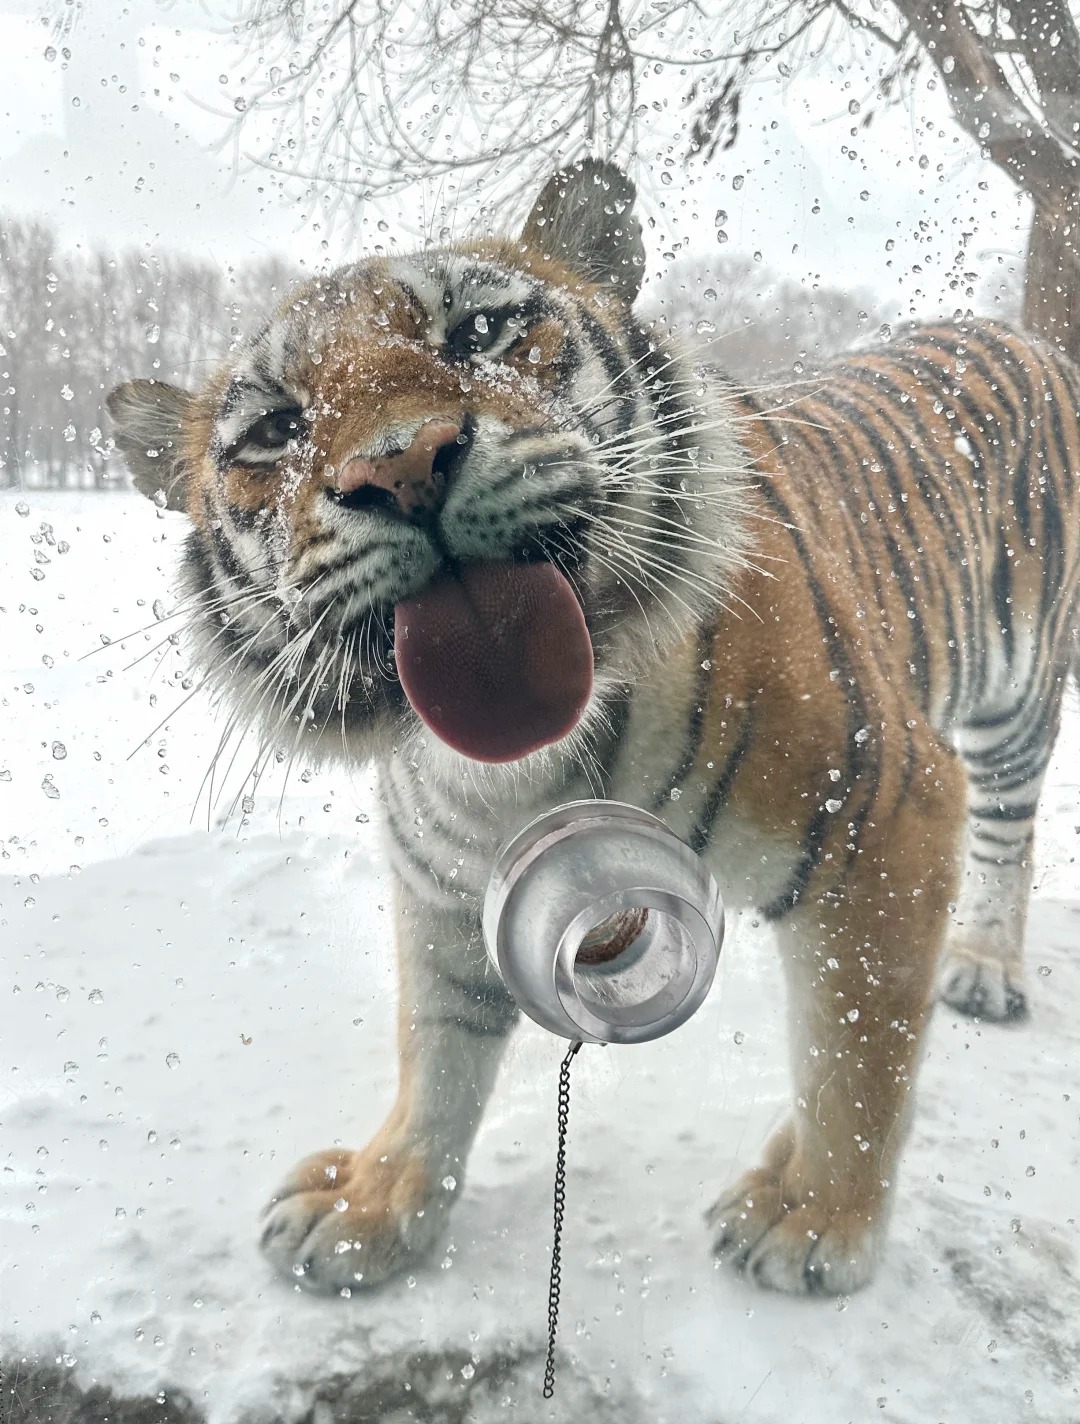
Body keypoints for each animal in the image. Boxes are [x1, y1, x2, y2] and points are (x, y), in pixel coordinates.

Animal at [107, 158, 1080, 1299]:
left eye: (480, 330)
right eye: (274, 431)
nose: (401, 465)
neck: (515, 771)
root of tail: (1010, 329)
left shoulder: (886, 813)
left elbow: (854, 1050)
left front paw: (812, 1218)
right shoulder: (448, 892)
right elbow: (435, 1046)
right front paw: (375, 1204)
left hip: (1016, 703)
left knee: (1009, 837)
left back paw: (984, 967)